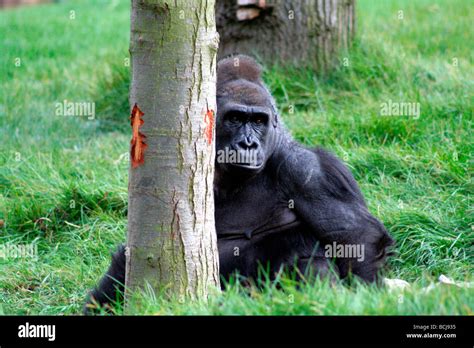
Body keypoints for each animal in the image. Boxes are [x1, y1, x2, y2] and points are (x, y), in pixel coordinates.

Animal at [84, 55, 392, 314]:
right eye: (234, 118)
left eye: (258, 120)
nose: (248, 144)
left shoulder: (311, 170)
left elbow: (354, 235)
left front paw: (364, 296)